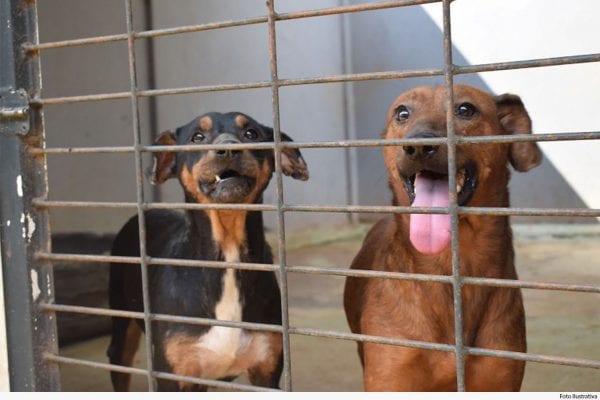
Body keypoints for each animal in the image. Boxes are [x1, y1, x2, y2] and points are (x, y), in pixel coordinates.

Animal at [106, 111, 310, 390]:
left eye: (251, 134)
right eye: (197, 137)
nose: (229, 150)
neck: (227, 252)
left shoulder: (266, 371)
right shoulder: (172, 375)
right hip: (122, 327)